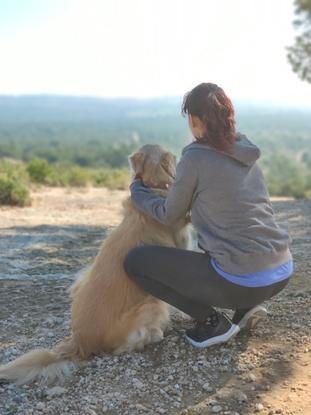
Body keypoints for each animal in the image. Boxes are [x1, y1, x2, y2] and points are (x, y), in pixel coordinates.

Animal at [0, 145, 191, 386]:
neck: (151, 184)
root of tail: (80, 342)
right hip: (152, 303)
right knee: (125, 346)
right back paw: (155, 334)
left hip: (82, 277)